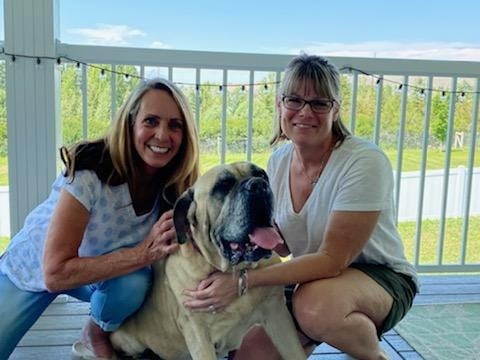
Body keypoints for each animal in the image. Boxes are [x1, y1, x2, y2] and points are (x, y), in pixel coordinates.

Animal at [109, 162, 304, 360]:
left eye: (262, 175)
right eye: (223, 186)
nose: (258, 185)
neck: (235, 271)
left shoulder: (277, 314)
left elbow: (295, 352)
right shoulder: (198, 333)